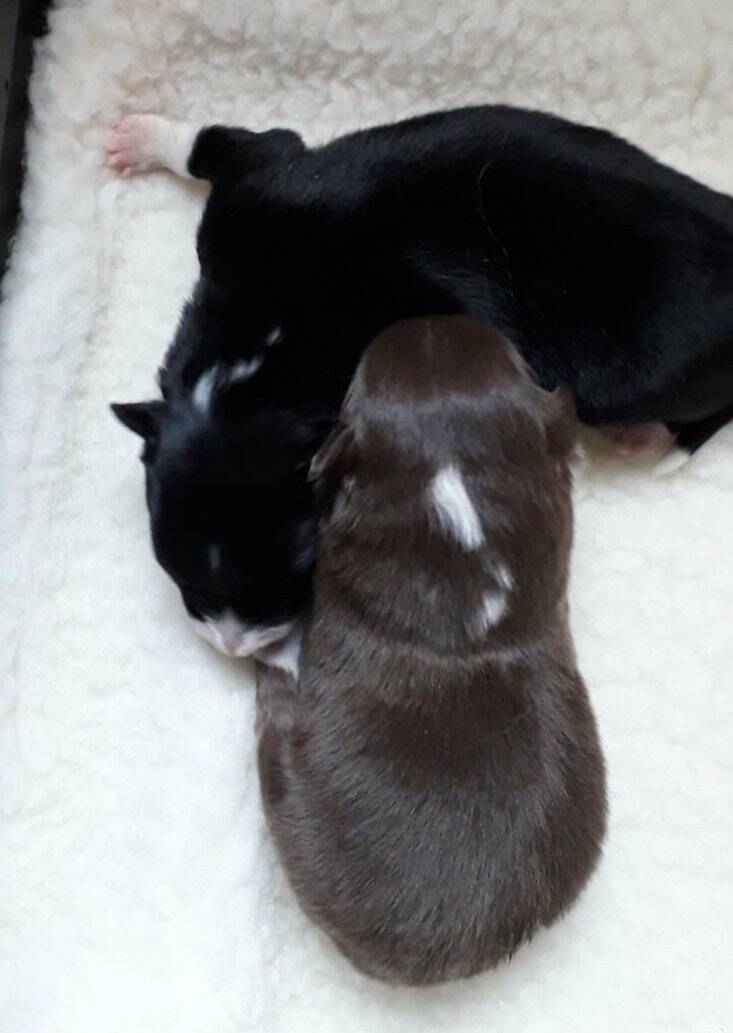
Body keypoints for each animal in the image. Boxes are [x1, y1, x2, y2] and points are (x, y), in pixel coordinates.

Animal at [109, 105, 733, 655]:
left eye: (301, 568)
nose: (233, 648)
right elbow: (219, 145)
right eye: (174, 568)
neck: (262, 358)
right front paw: (141, 137)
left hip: (633, 374)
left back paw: (648, 440)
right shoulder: (256, 190)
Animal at [255, 315, 607, 985]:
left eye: (356, 379)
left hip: (290, 786)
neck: (457, 504)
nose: (429, 317)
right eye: (516, 357)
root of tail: (442, 960)